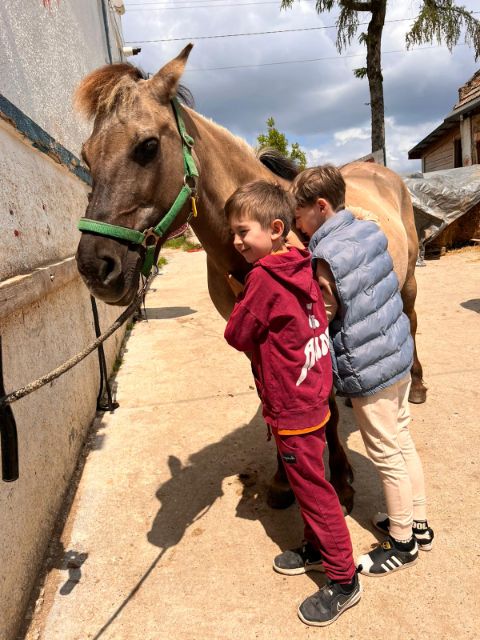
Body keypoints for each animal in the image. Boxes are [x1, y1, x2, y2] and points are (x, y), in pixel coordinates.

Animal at [74, 44, 427, 514]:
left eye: (147, 146)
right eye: (86, 155)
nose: (96, 267)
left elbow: (322, 407)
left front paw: (342, 481)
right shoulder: (253, 340)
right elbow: (272, 400)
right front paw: (281, 481)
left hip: (407, 285)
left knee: (411, 324)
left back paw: (417, 384)